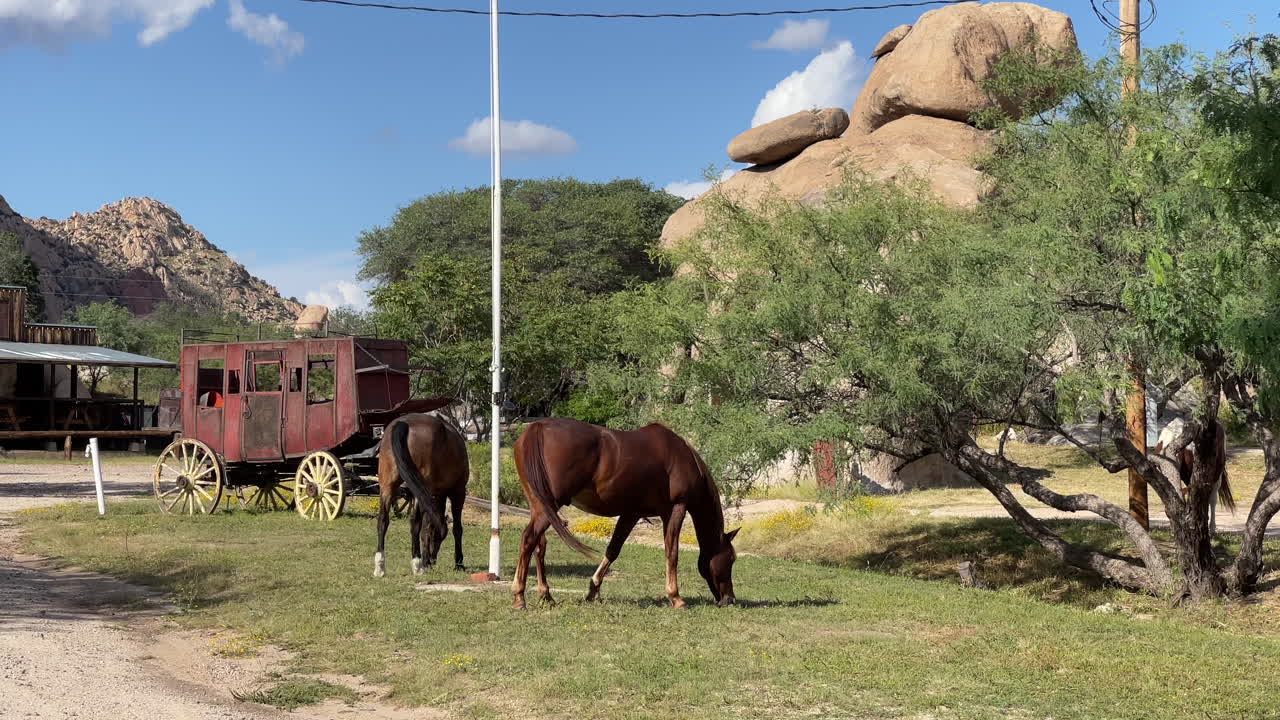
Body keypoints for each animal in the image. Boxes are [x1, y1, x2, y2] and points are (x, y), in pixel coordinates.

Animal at [373, 413, 469, 577]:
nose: (432, 559)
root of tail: (403, 423)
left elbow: (426, 527)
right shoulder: (458, 492)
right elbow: (456, 528)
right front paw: (459, 563)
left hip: (388, 486)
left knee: (383, 521)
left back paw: (380, 566)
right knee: (415, 523)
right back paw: (417, 564)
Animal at [510, 417, 739, 610]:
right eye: (731, 558)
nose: (730, 599)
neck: (683, 456)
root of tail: (538, 427)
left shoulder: (631, 513)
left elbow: (613, 550)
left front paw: (593, 590)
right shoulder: (676, 509)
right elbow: (672, 553)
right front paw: (675, 597)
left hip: (541, 506)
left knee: (540, 545)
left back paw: (546, 595)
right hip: (548, 507)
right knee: (529, 540)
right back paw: (519, 597)